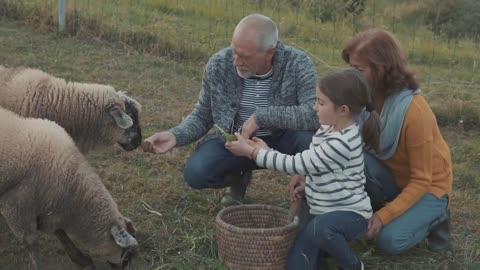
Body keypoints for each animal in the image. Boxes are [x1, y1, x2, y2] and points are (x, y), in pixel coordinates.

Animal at [0, 106, 139, 268]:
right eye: (127, 253)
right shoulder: (16, 207)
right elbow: (31, 243)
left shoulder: (49, 208)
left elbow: (60, 232)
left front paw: (80, 258)